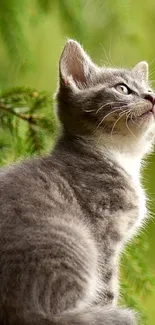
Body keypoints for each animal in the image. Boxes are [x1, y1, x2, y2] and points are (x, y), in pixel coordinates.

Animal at [0, 39, 154, 322]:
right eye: (122, 88)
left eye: (149, 89)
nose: (151, 97)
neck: (120, 156)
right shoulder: (105, 234)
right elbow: (107, 286)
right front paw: (109, 308)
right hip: (75, 241)